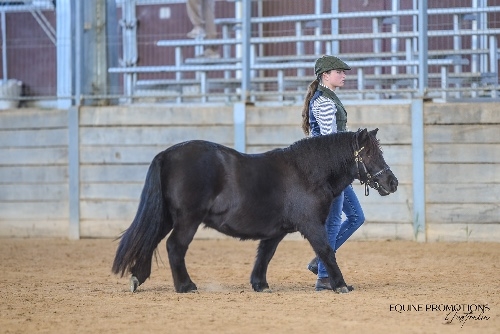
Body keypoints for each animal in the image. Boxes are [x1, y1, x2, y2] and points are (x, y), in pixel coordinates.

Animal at [112, 129, 398, 294]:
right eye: (369, 153)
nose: (392, 182)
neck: (306, 172)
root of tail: (167, 154)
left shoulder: (276, 231)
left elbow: (265, 255)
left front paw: (259, 284)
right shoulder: (312, 225)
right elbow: (327, 251)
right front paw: (340, 285)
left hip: (167, 217)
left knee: (149, 242)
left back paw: (138, 278)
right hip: (187, 219)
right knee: (174, 247)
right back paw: (185, 286)